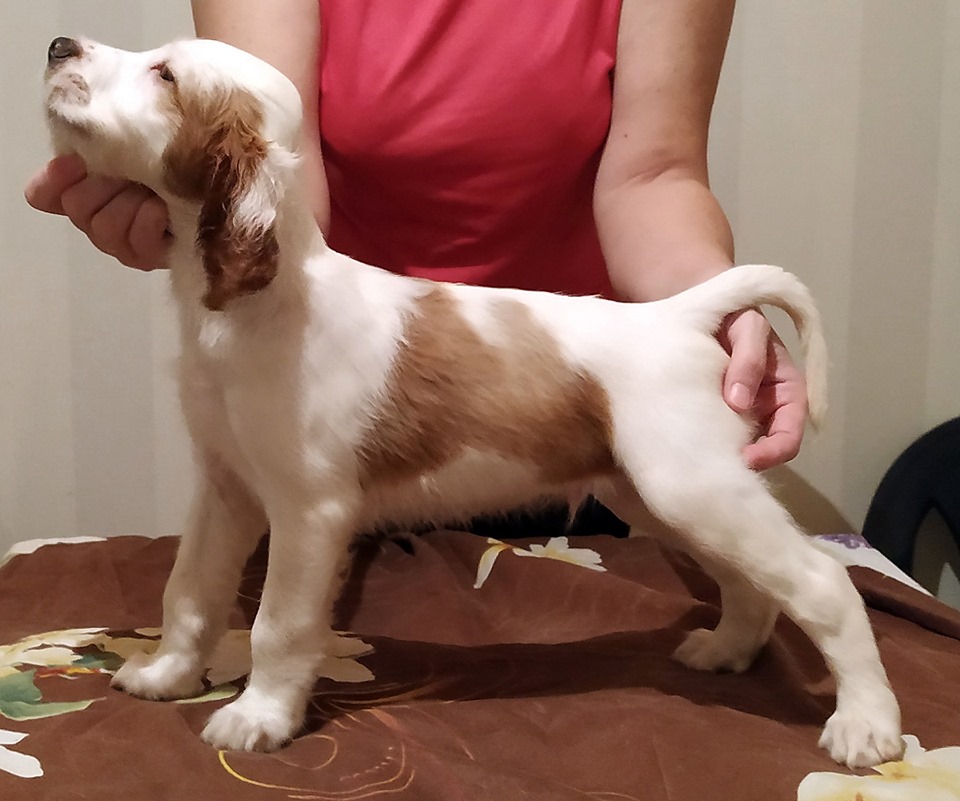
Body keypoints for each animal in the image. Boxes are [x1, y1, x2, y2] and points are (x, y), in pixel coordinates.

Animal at [42, 36, 902, 767]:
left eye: (165, 75)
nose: (57, 44)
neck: (262, 299)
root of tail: (680, 313)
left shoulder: (308, 509)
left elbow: (277, 624)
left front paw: (258, 717)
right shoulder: (226, 488)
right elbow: (189, 589)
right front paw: (165, 674)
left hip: (692, 486)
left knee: (824, 580)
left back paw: (866, 724)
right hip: (663, 491)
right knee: (755, 582)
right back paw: (727, 650)